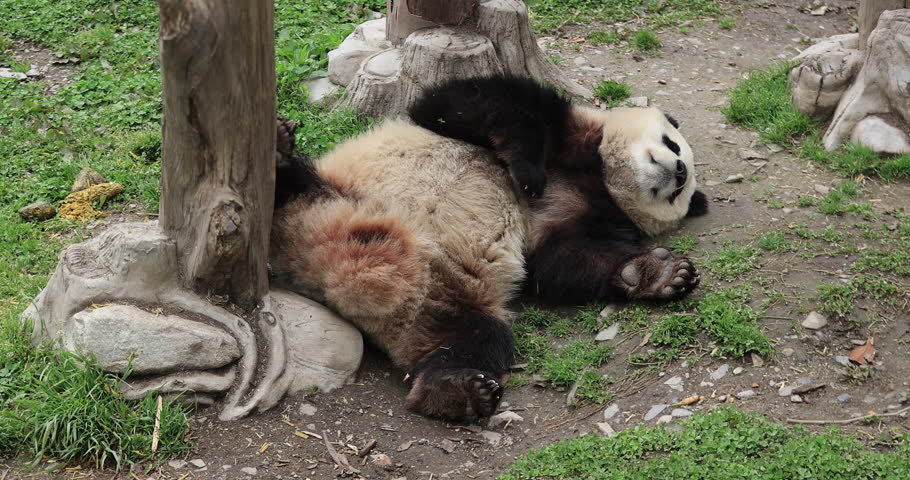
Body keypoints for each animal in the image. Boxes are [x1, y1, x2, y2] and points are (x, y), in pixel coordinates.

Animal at [270, 75, 708, 422]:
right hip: (327, 196)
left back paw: (456, 392)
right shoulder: (569, 133)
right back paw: (278, 152)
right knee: (290, 187)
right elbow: (467, 104)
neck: (599, 175)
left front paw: (657, 274)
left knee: (473, 339)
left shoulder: (576, 217)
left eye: (680, 191)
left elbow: (560, 265)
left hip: (442, 301)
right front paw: (528, 170)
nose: (678, 171)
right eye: (672, 143)